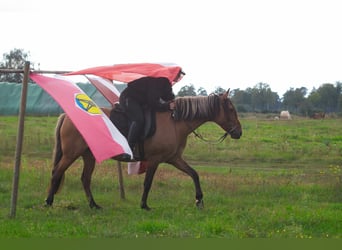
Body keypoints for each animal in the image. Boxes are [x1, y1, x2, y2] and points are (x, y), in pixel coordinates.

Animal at [45, 89, 242, 209]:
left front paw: (199, 200)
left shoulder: (174, 159)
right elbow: (148, 182)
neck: (175, 122)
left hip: (89, 156)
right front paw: (144, 205)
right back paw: (48, 202)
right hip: (71, 154)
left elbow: (194, 174)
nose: (238, 132)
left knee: (85, 179)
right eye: (231, 109)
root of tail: (67, 116)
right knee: (57, 173)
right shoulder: (155, 160)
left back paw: (94, 205)